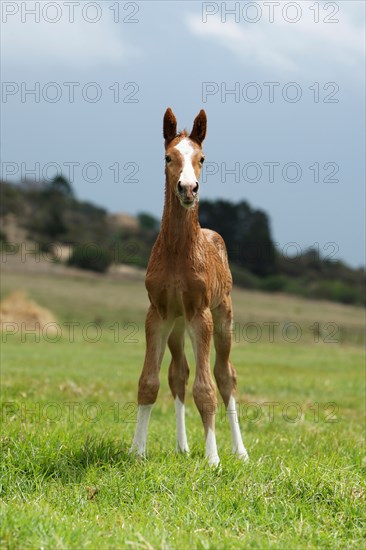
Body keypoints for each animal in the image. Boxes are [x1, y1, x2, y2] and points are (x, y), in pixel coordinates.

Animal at [129, 110, 249, 468]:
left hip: (222, 318)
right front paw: (137, 452)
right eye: (168, 157)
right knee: (178, 374)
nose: (188, 188)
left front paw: (213, 459)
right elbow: (149, 382)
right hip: (177, 326)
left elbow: (206, 389)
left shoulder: (201, 314)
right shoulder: (158, 313)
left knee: (225, 375)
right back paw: (181, 446)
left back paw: (239, 451)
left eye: (202, 158)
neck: (178, 253)